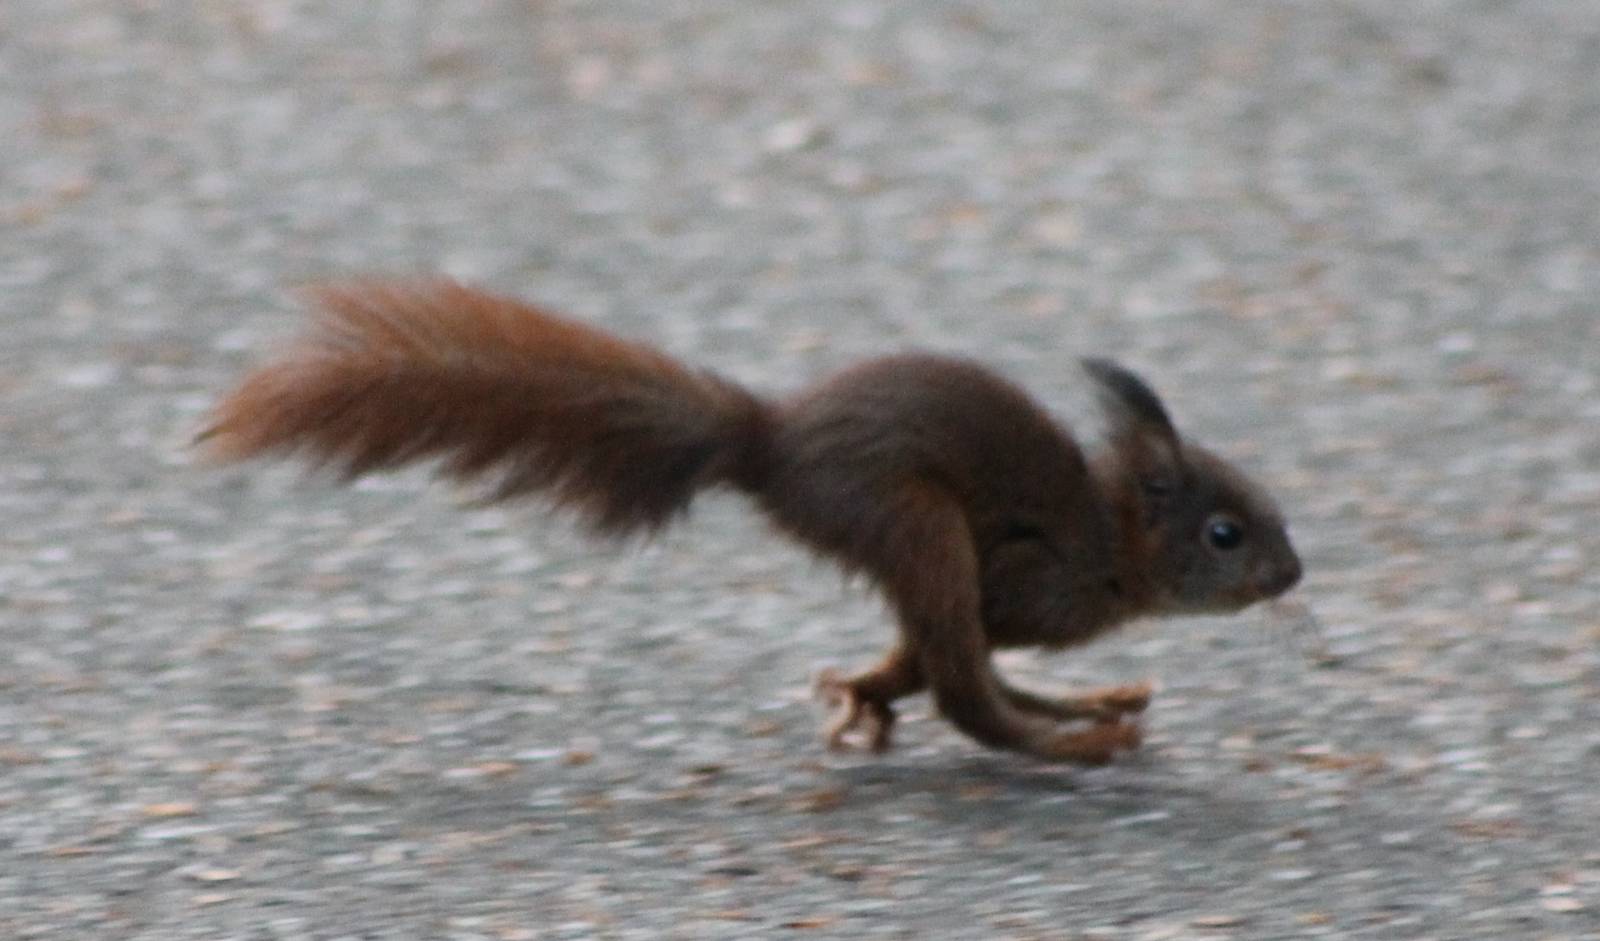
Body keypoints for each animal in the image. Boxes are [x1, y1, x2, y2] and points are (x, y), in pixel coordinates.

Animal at [200, 280, 1302, 764]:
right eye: (1225, 533)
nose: (1294, 577)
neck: (1109, 540)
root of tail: (771, 442)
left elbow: (910, 662)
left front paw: (860, 694)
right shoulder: (1025, 580)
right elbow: (949, 664)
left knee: (960, 672)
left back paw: (1083, 706)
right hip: (913, 522)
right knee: (967, 694)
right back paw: (1072, 739)